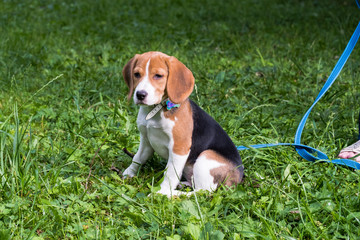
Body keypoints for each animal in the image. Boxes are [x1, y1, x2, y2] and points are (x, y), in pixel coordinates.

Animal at [122, 51, 243, 196]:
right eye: (136, 74)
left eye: (158, 76)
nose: (140, 94)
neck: (156, 110)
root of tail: (238, 177)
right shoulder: (146, 141)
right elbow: (138, 158)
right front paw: (129, 173)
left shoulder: (179, 147)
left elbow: (169, 174)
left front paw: (162, 192)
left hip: (206, 157)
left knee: (202, 192)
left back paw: (173, 194)